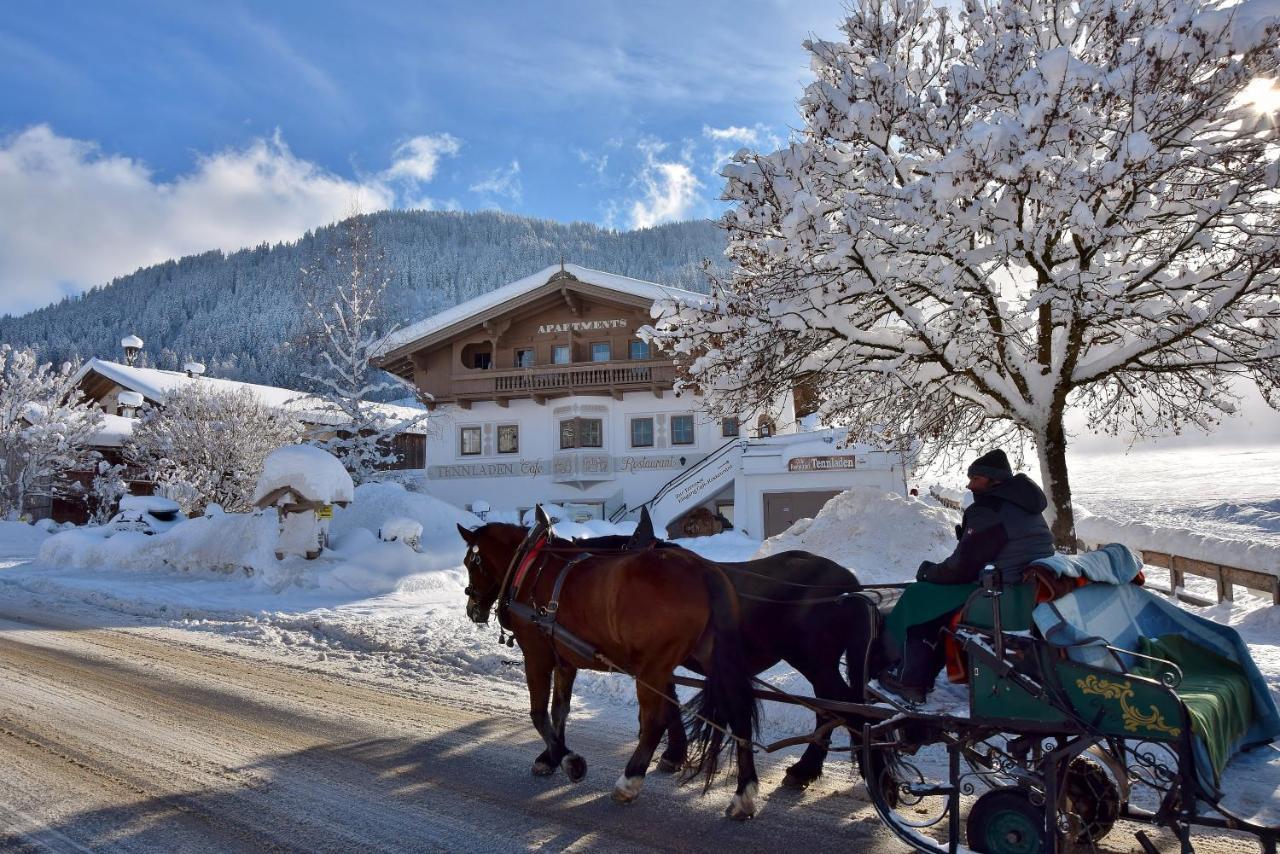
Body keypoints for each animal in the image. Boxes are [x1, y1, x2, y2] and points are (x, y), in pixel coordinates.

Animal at [460, 512, 757, 819]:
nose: (473, 609)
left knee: (654, 722)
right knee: (740, 718)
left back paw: (629, 781)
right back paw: (743, 794)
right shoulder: (565, 659)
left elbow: (539, 714)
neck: (532, 568)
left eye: (471, 562)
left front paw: (570, 761)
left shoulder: (536, 654)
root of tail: (704, 570)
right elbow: (559, 710)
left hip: (653, 668)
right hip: (713, 661)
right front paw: (552, 756)